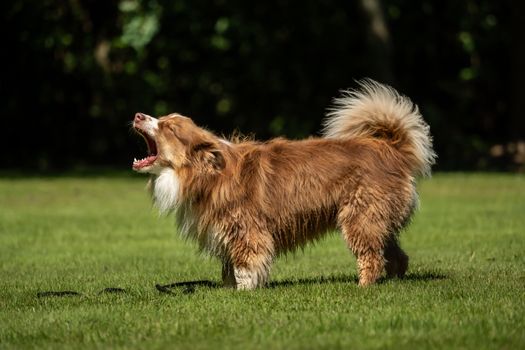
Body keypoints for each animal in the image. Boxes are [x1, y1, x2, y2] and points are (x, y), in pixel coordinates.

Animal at [131, 80, 434, 290]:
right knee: (395, 254)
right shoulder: (225, 230)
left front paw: (244, 292)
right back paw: (392, 282)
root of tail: (391, 148)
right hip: (375, 218)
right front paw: (227, 291)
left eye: (169, 128)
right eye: (162, 119)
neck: (207, 173)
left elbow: (245, 264)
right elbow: (228, 267)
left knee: (371, 255)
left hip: (360, 217)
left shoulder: (246, 228)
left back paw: (363, 286)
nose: (138, 115)